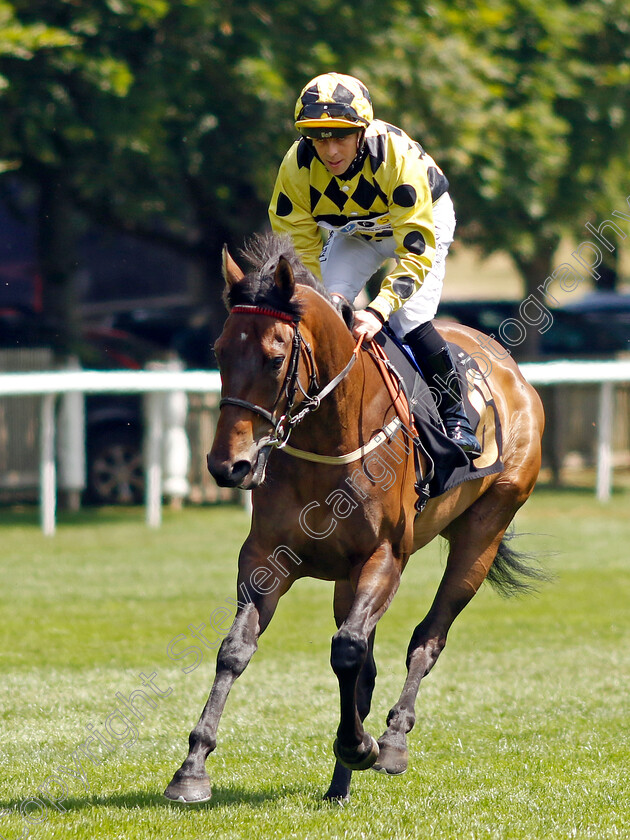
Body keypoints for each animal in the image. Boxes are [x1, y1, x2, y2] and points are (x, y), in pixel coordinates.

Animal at [165, 233, 544, 804]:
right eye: (219, 351)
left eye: (275, 358)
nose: (227, 466)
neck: (330, 438)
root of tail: (512, 371)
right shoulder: (267, 558)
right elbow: (235, 650)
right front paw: (192, 767)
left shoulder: (383, 556)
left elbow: (347, 650)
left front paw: (359, 745)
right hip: (348, 578)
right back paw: (339, 784)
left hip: (484, 530)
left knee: (427, 639)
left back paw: (390, 742)